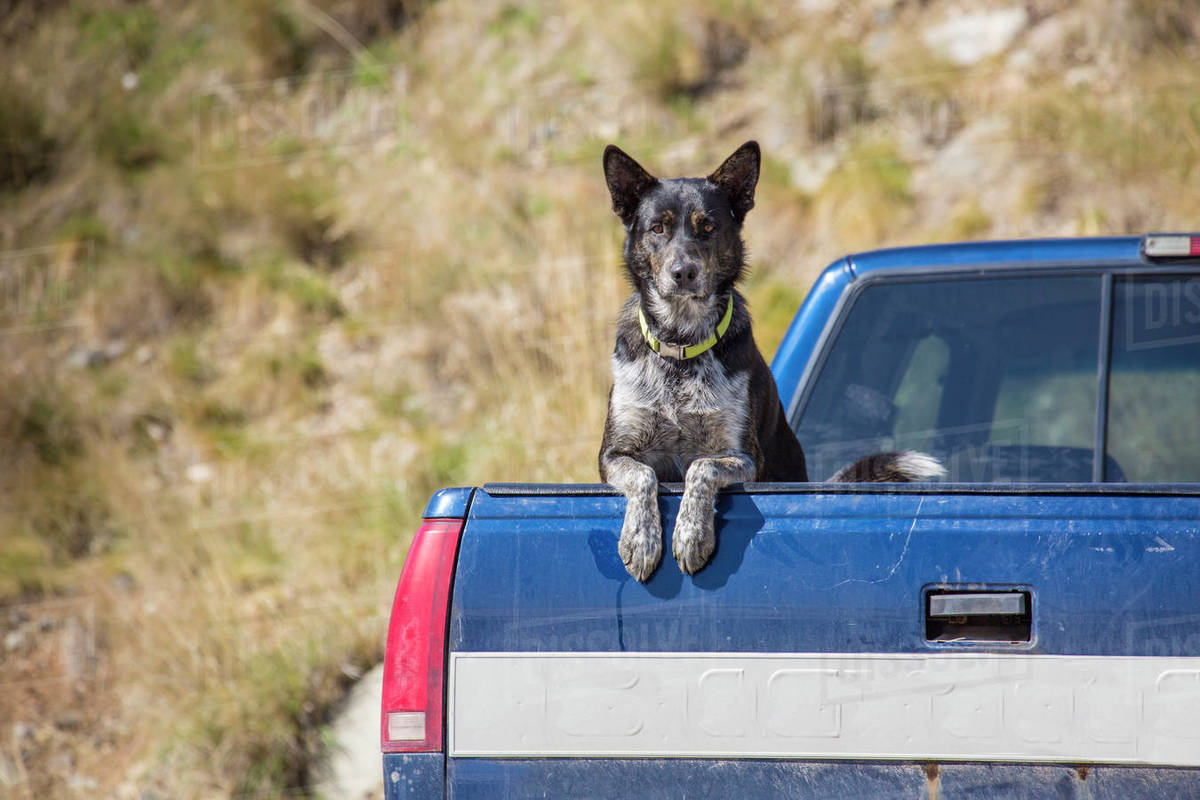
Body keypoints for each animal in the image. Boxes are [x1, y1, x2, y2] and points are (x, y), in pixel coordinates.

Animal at [595, 140, 940, 582]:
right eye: (658, 228)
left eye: (708, 227)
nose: (683, 272)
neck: (683, 342)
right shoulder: (614, 453)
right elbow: (644, 476)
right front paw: (641, 540)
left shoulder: (744, 458)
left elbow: (700, 468)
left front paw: (691, 535)